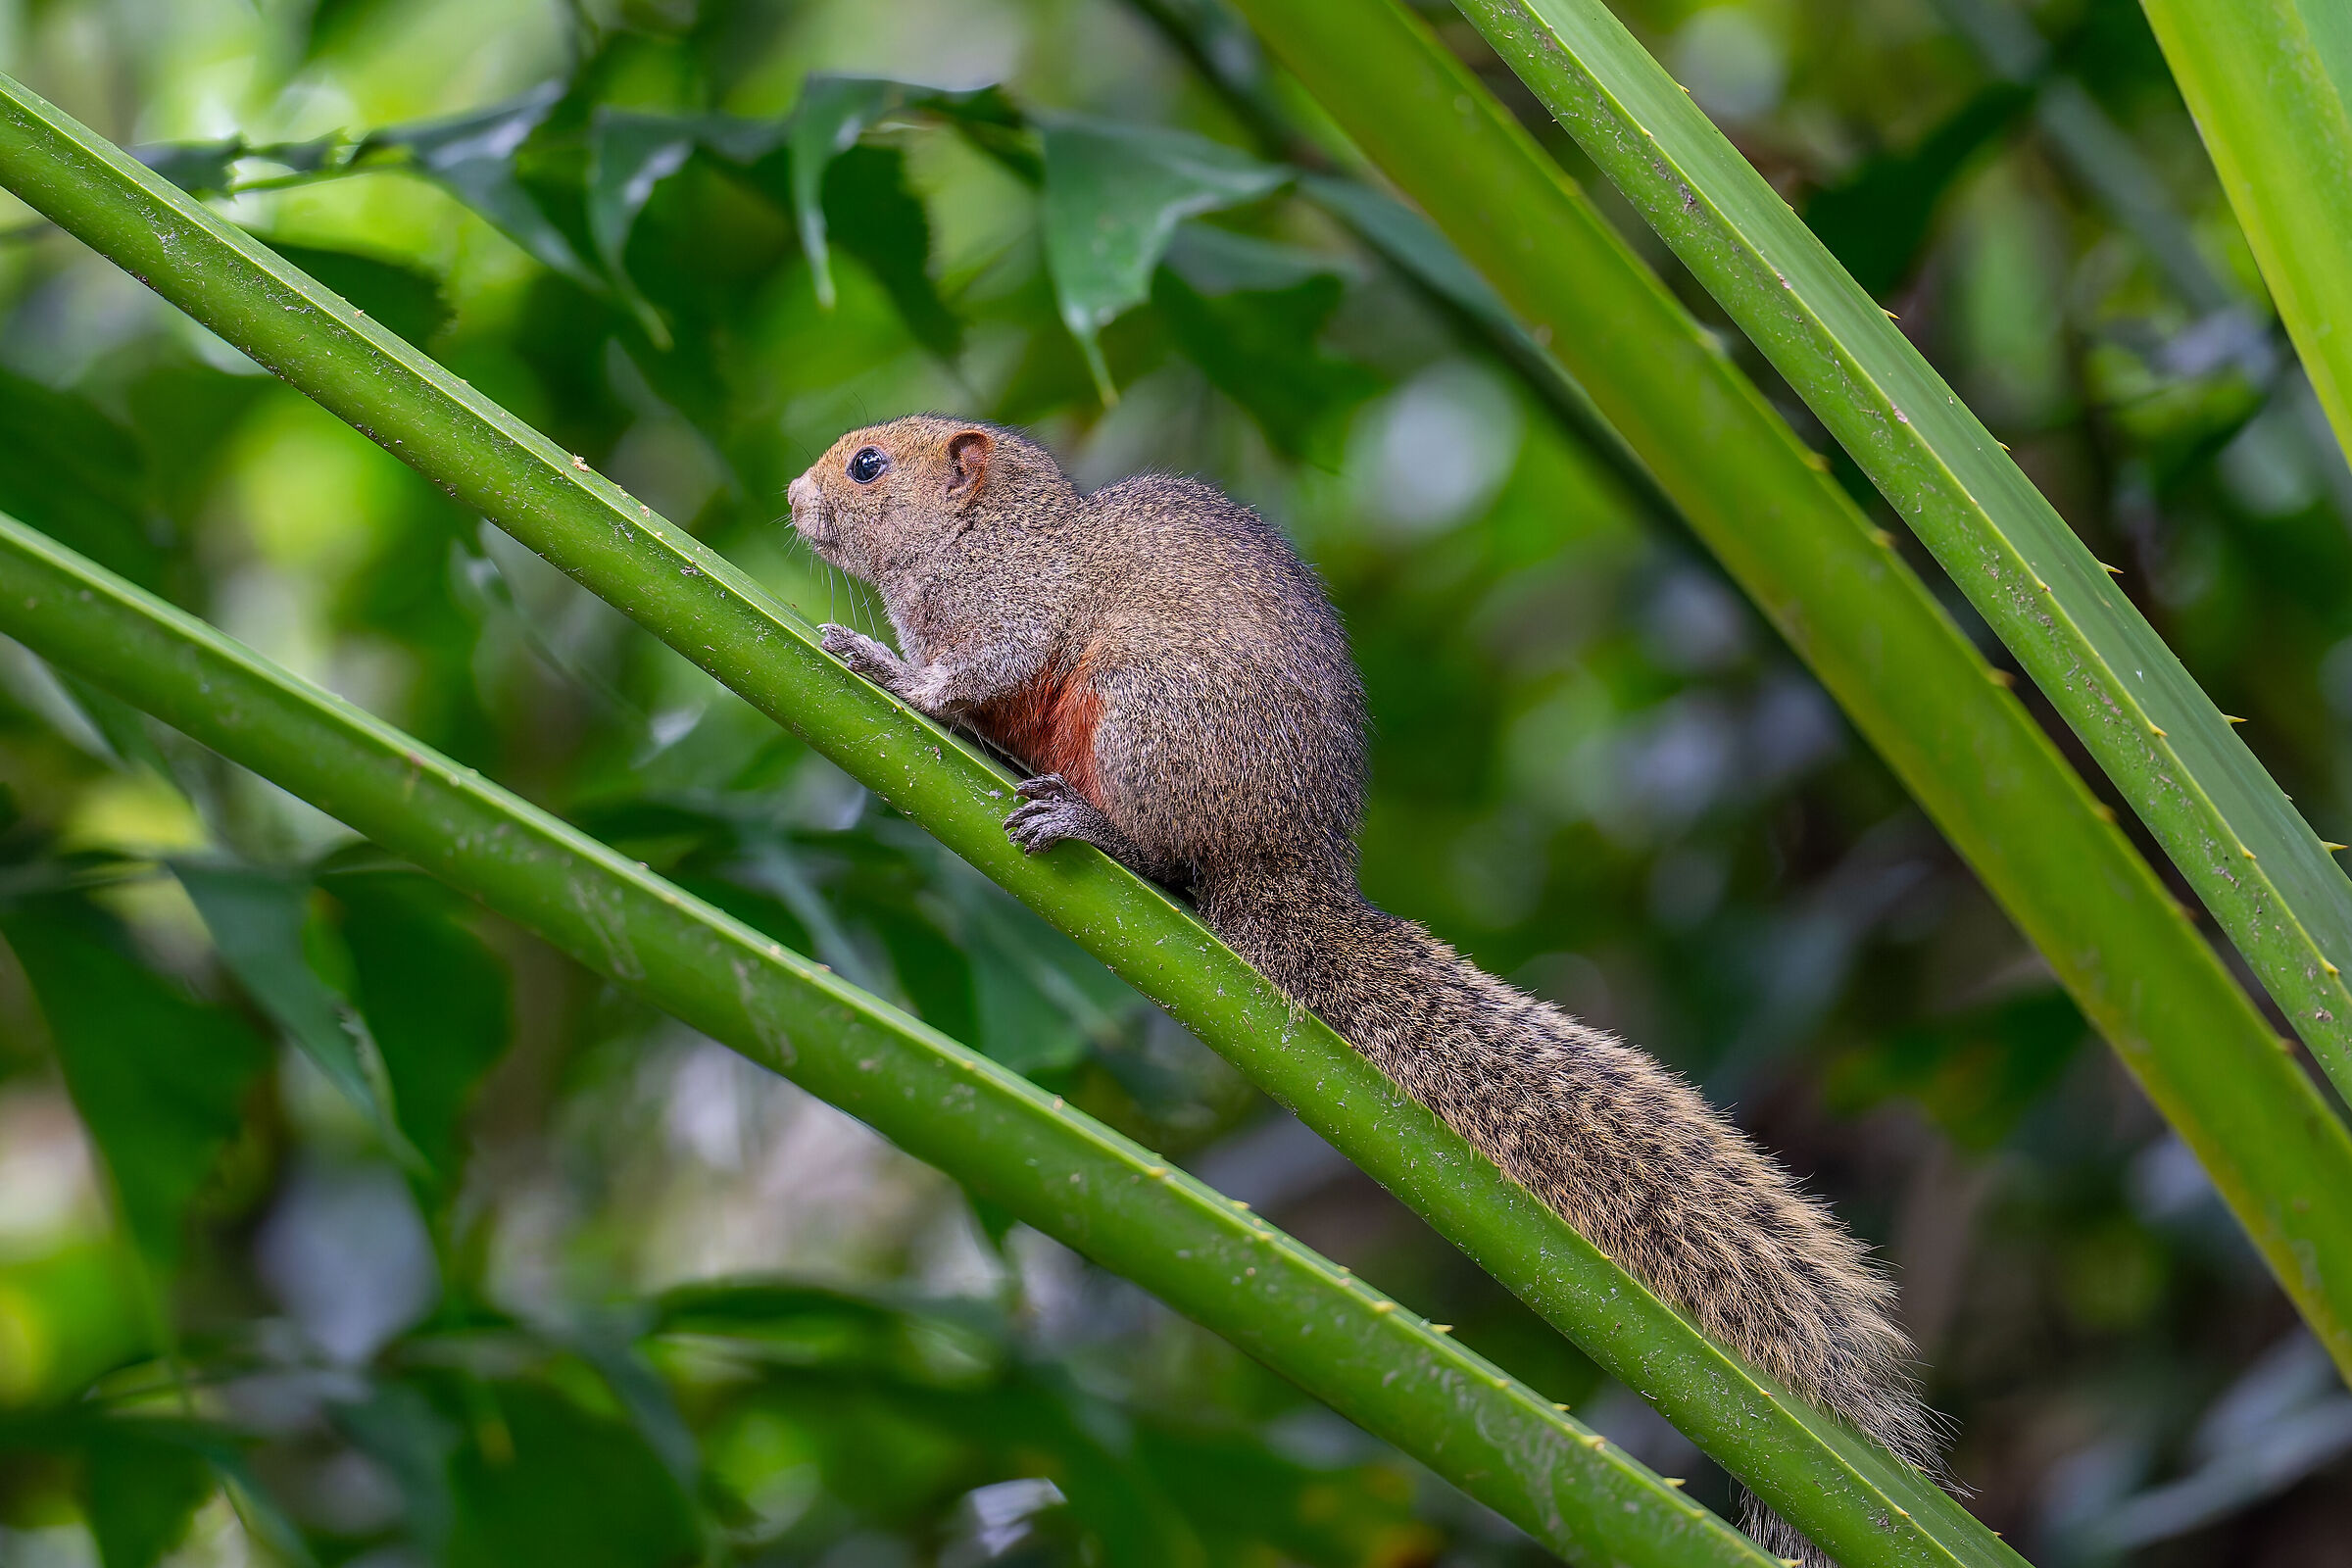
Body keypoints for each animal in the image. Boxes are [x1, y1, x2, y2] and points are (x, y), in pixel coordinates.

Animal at [787, 415, 1942, 1564]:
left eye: (869, 466)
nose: (795, 500)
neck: (977, 537)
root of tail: (1288, 867)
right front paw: (880, 658)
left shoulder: (1016, 601)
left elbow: (982, 663)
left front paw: (894, 674)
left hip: (1147, 715)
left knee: (1152, 842)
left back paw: (1084, 821)